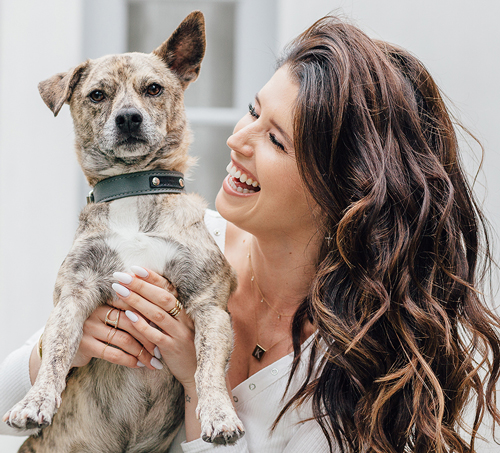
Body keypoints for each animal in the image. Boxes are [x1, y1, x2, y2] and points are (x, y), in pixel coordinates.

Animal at [2, 10, 245, 452]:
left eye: (154, 89)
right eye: (98, 95)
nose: (128, 117)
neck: (133, 187)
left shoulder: (208, 304)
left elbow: (208, 367)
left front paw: (219, 413)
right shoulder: (74, 293)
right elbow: (56, 353)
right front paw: (35, 401)